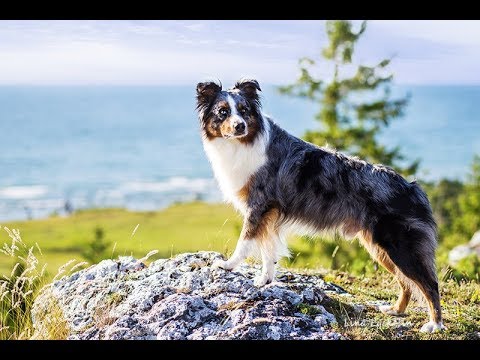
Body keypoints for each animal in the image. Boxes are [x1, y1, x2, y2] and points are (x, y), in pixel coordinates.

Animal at [197, 78, 444, 332]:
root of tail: (413, 187)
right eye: (223, 112)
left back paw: (435, 324)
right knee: (406, 283)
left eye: (244, 110)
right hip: (379, 248)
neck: (245, 142)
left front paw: (227, 265)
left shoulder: (259, 206)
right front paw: (265, 279)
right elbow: (268, 250)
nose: (240, 126)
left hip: (398, 245)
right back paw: (396, 310)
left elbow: (245, 242)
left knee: (429, 283)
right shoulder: (269, 213)